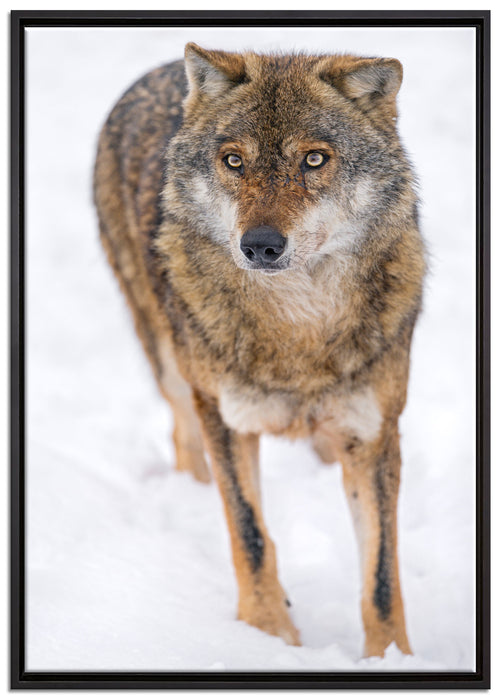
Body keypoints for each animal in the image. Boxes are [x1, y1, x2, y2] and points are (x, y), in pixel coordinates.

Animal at [94, 43, 425, 657]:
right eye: (234, 161)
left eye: (315, 160)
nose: (261, 245)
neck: (298, 330)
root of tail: (158, 72)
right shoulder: (228, 420)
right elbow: (249, 534)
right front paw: (267, 635)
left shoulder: (374, 435)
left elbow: (381, 577)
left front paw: (392, 659)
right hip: (171, 367)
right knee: (184, 438)